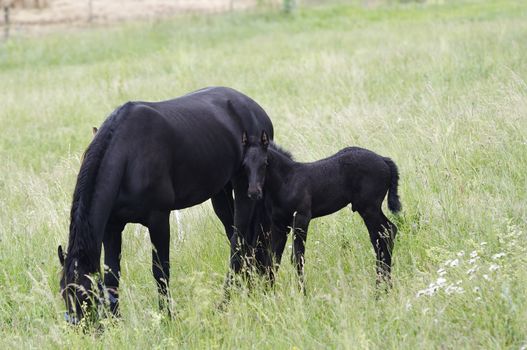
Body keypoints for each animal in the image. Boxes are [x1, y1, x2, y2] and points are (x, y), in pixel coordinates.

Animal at [56, 87, 272, 322]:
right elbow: (112, 275)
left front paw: (167, 316)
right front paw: (117, 320)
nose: (80, 326)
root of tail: (253, 108)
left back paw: (226, 301)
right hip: (221, 193)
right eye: (63, 291)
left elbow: (160, 271)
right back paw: (248, 289)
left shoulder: (158, 219)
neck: (129, 155)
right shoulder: (112, 227)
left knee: (238, 242)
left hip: (244, 190)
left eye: (86, 294)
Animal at [245, 144, 402, 292]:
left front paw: (302, 293)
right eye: (244, 164)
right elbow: (273, 258)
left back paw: (381, 288)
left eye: (265, 163)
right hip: (370, 209)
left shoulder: (302, 219)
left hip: (369, 208)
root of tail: (384, 159)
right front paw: (268, 292)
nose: (254, 192)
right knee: (385, 234)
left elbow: (297, 258)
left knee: (385, 234)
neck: (287, 180)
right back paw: (384, 286)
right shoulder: (279, 225)